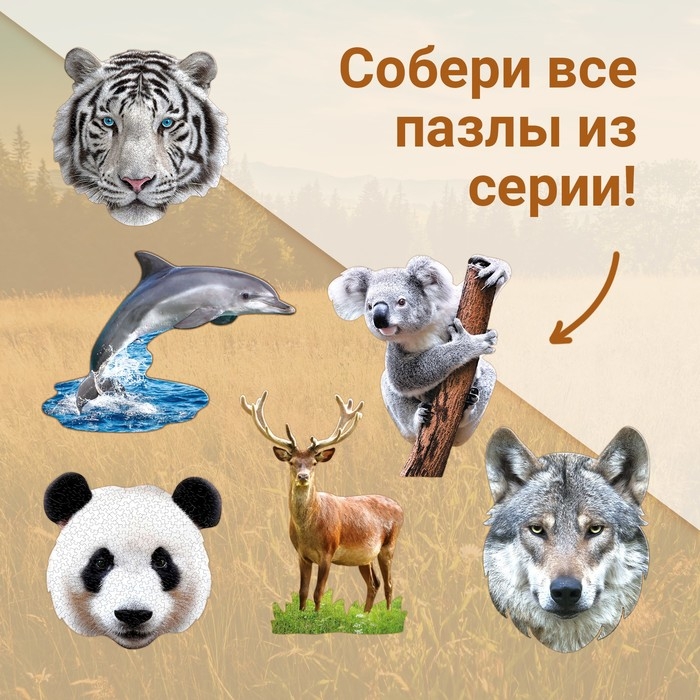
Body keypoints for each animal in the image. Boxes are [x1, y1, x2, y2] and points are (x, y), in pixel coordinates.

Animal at [240, 391, 404, 613]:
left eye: (314, 463)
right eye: (292, 462)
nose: (303, 476)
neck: (308, 531)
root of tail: (400, 508)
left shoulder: (328, 552)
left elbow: (318, 593)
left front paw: (318, 617)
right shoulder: (302, 554)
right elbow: (302, 592)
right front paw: (302, 616)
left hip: (389, 545)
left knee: (389, 584)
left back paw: (386, 615)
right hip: (365, 556)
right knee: (374, 583)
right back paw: (365, 615)